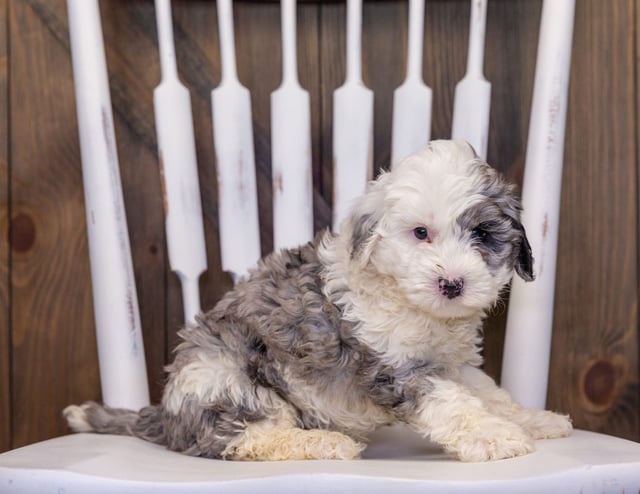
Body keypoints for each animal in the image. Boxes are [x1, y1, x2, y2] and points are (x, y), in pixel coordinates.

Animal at [66, 140, 576, 464]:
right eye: (420, 233)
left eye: (483, 235)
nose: (451, 284)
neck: (407, 300)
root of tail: (166, 415)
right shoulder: (396, 368)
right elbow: (452, 405)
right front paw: (496, 438)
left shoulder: (452, 363)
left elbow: (489, 394)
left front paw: (532, 421)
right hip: (225, 376)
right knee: (244, 437)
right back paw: (325, 444)